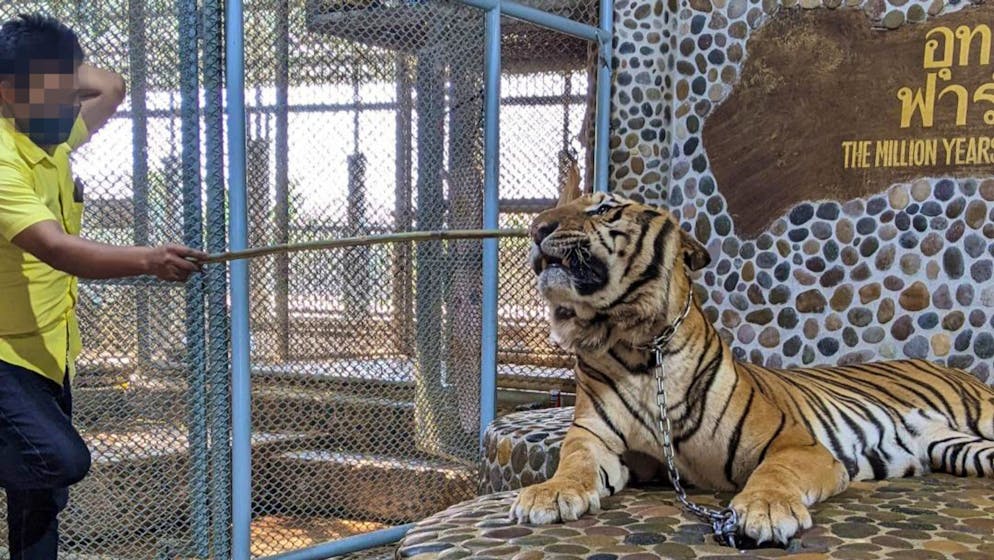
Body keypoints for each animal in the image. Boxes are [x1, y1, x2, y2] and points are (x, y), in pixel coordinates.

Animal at [510, 174, 994, 545]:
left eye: (605, 208)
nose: (536, 227)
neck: (637, 344)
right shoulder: (596, 438)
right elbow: (574, 461)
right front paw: (548, 494)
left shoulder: (795, 444)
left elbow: (776, 472)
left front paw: (765, 508)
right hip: (958, 448)